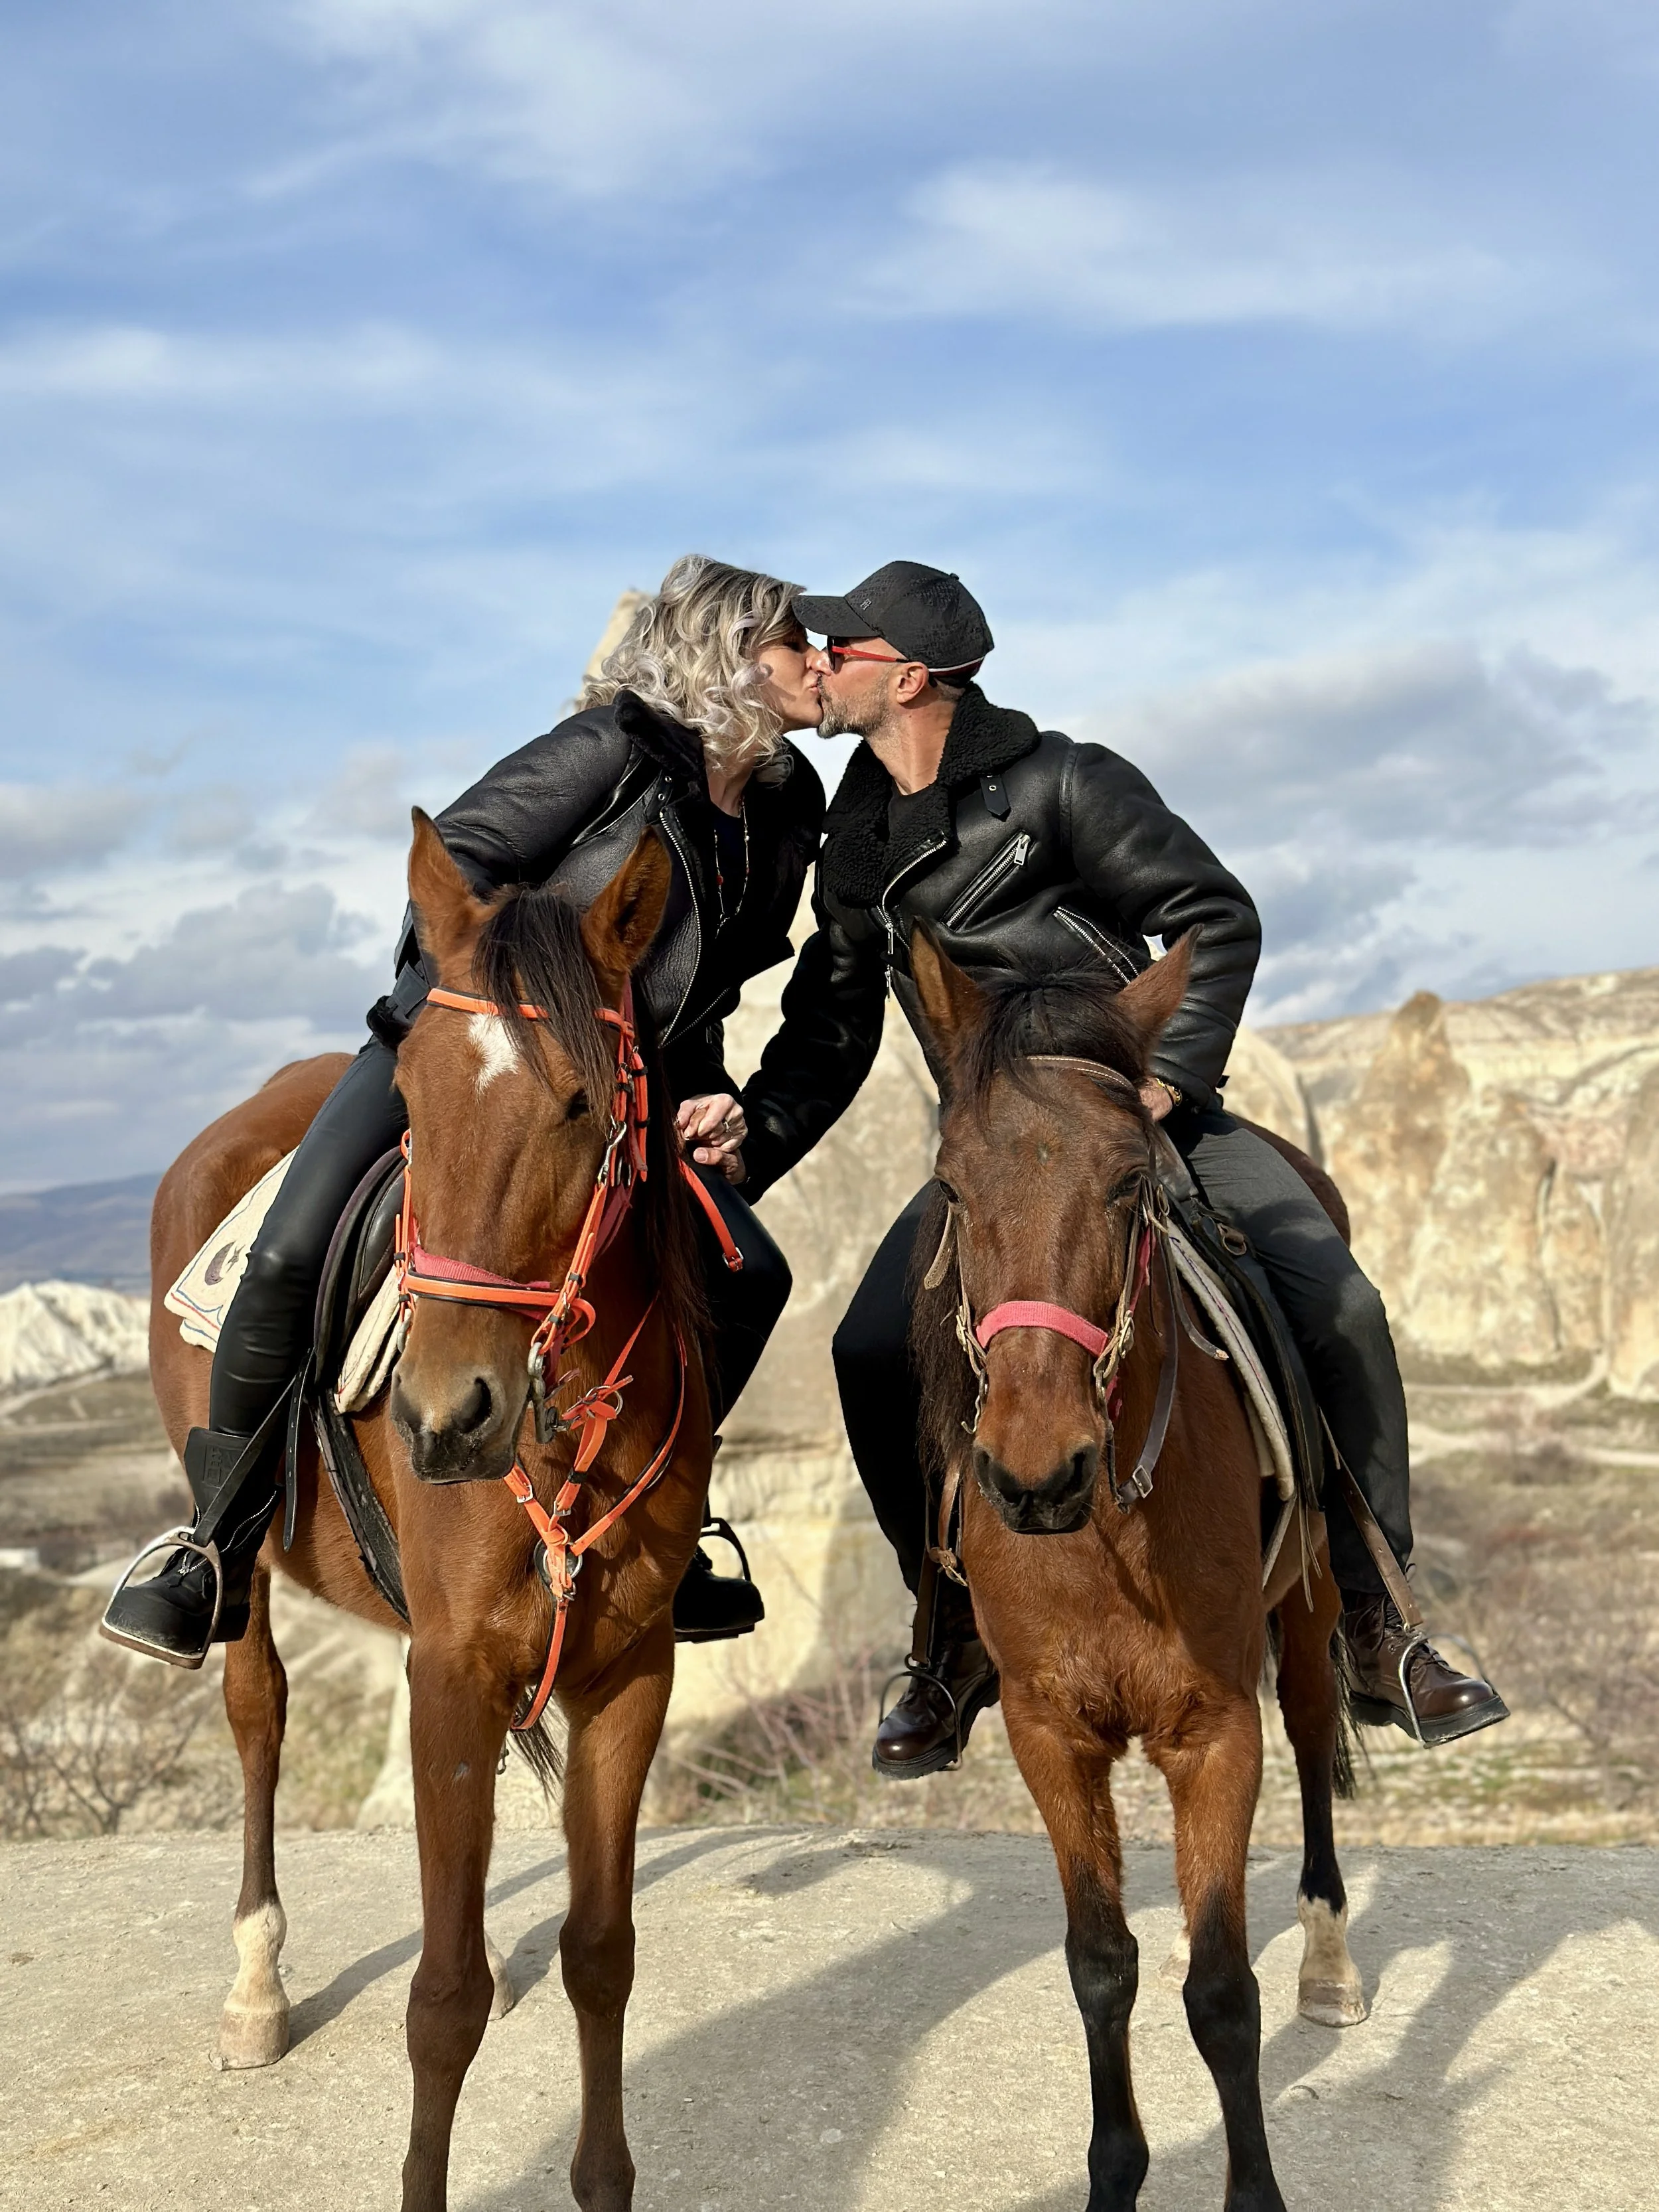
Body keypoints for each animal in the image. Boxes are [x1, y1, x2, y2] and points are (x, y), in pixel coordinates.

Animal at [144, 820, 713, 2212]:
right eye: (412, 1098)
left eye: (583, 1104)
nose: (446, 1415)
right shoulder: (449, 1670)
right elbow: (439, 2001)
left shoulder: (629, 1673)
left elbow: (603, 1952)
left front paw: (602, 2177)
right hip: (239, 1557)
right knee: (257, 1709)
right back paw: (256, 1986)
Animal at [905, 926, 1366, 2212]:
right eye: (953, 1186)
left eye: (1127, 1181)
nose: (1034, 1470)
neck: (1103, 1537)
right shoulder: (1050, 1733)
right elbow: (1100, 1964)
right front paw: (1116, 2171)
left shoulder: (1214, 1732)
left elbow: (1219, 1991)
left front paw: (1252, 2193)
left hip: (1309, 1606)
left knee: (1315, 1731)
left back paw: (1328, 1951)